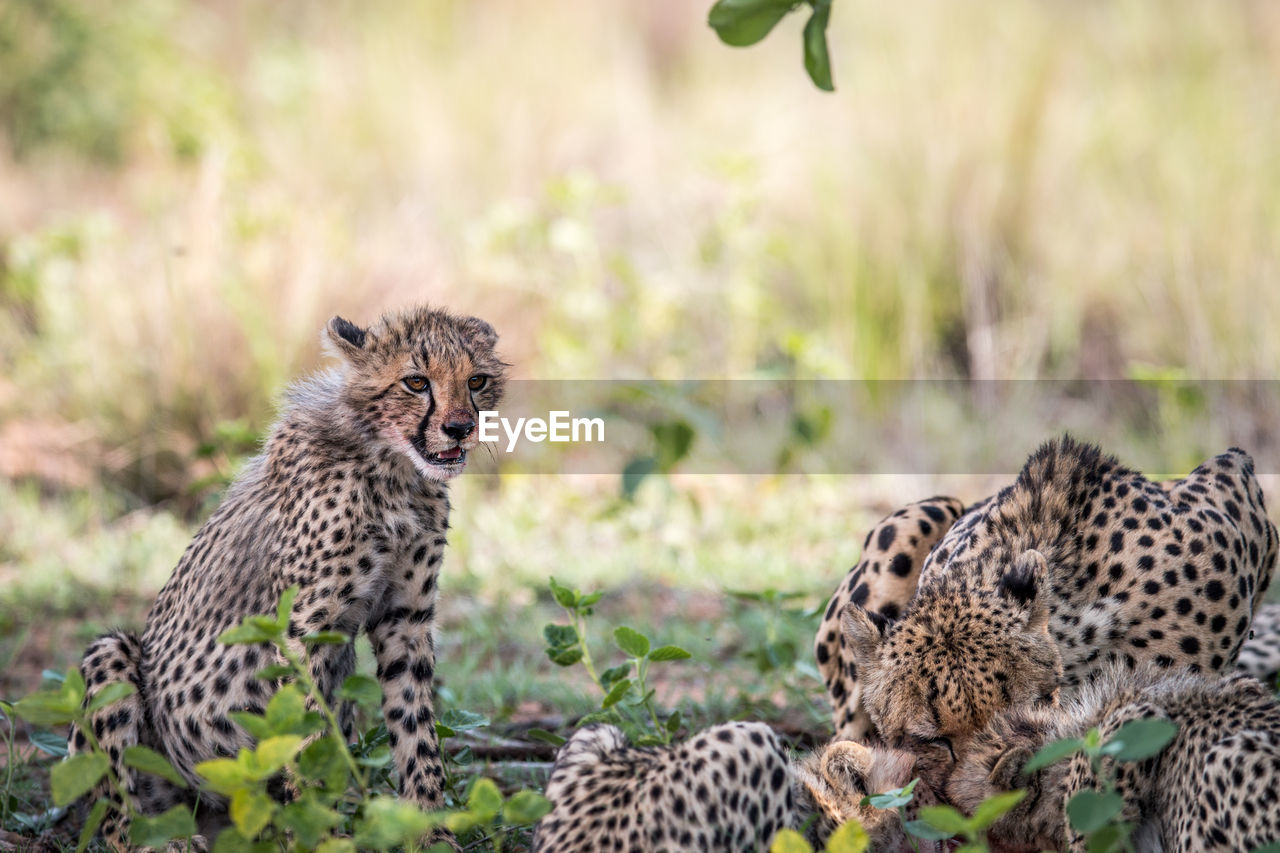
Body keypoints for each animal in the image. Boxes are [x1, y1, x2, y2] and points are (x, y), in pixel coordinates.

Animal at [67, 308, 501, 845]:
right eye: (416, 382)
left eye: (477, 380)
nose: (461, 427)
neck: (392, 468)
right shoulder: (301, 630)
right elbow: (306, 733)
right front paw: (315, 833)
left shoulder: (406, 620)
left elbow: (415, 725)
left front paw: (429, 829)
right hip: (111, 659)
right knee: (115, 818)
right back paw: (165, 843)